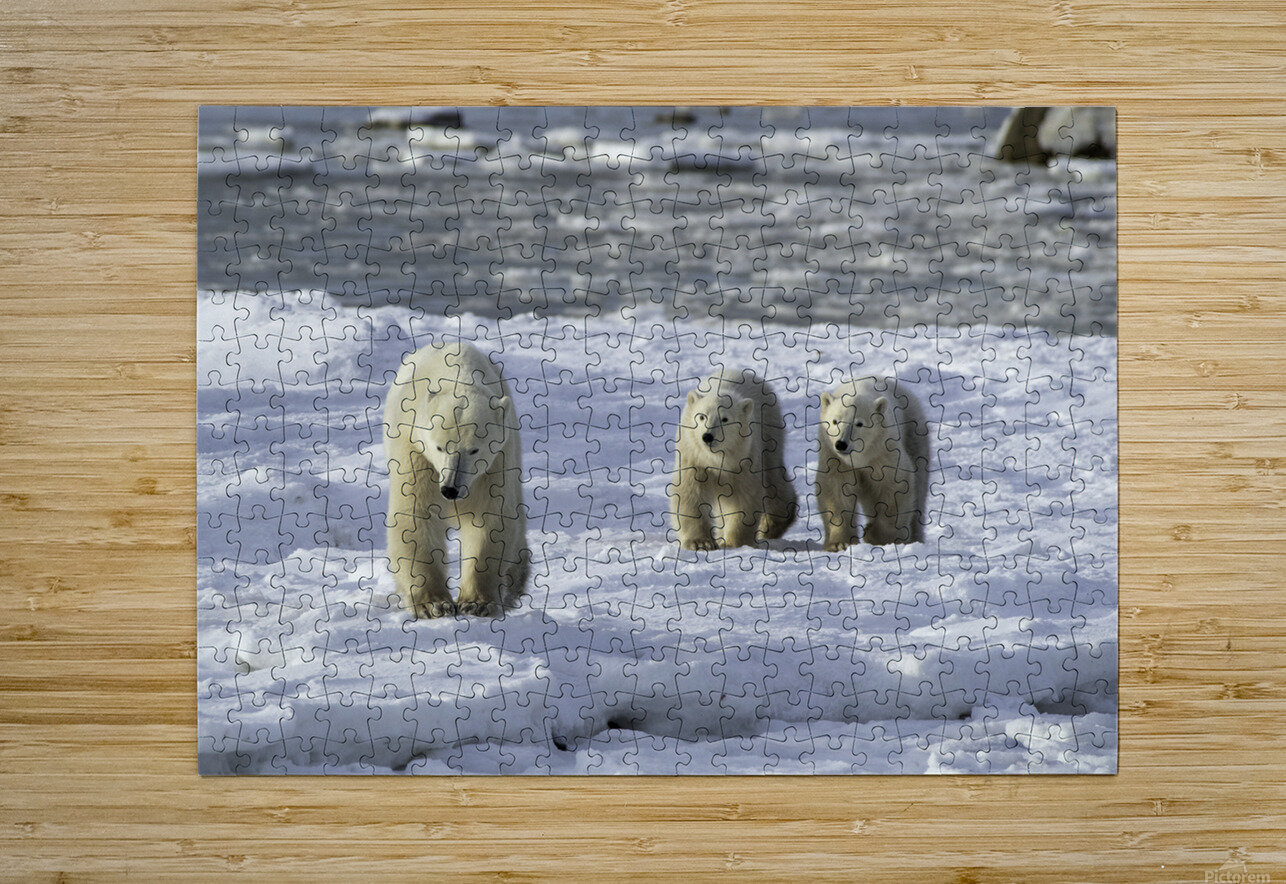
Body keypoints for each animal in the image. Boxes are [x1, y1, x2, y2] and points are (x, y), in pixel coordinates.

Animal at [383, 341, 529, 618]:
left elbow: (490, 519)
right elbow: (417, 515)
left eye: (474, 450)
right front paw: (433, 604)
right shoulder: (415, 449)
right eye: (440, 447)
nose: (450, 489)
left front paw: (476, 603)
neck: (458, 375)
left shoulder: (497, 462)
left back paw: (516, 581)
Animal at [670, 368, 798, 550]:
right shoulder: (693, 458)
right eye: (701, 416)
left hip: (770, 435)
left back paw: (771, 525)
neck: (716, 460)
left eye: (725, 419)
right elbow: (690, 494)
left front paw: (733, 542)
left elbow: (743, 498)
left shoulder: (744, 460)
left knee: (773, 480)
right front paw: (701, 542)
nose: (707, 437)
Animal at [816, 376, 930, 550]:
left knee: (919, 489)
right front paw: (839, 543)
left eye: (859, 423)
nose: (841, 444)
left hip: (914, 433)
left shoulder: (883, 452)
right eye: (835, 421)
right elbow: (835, 491)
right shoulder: (835, 458)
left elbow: (894, 487)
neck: (861, 458)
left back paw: (914, 538)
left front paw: (876, 535)